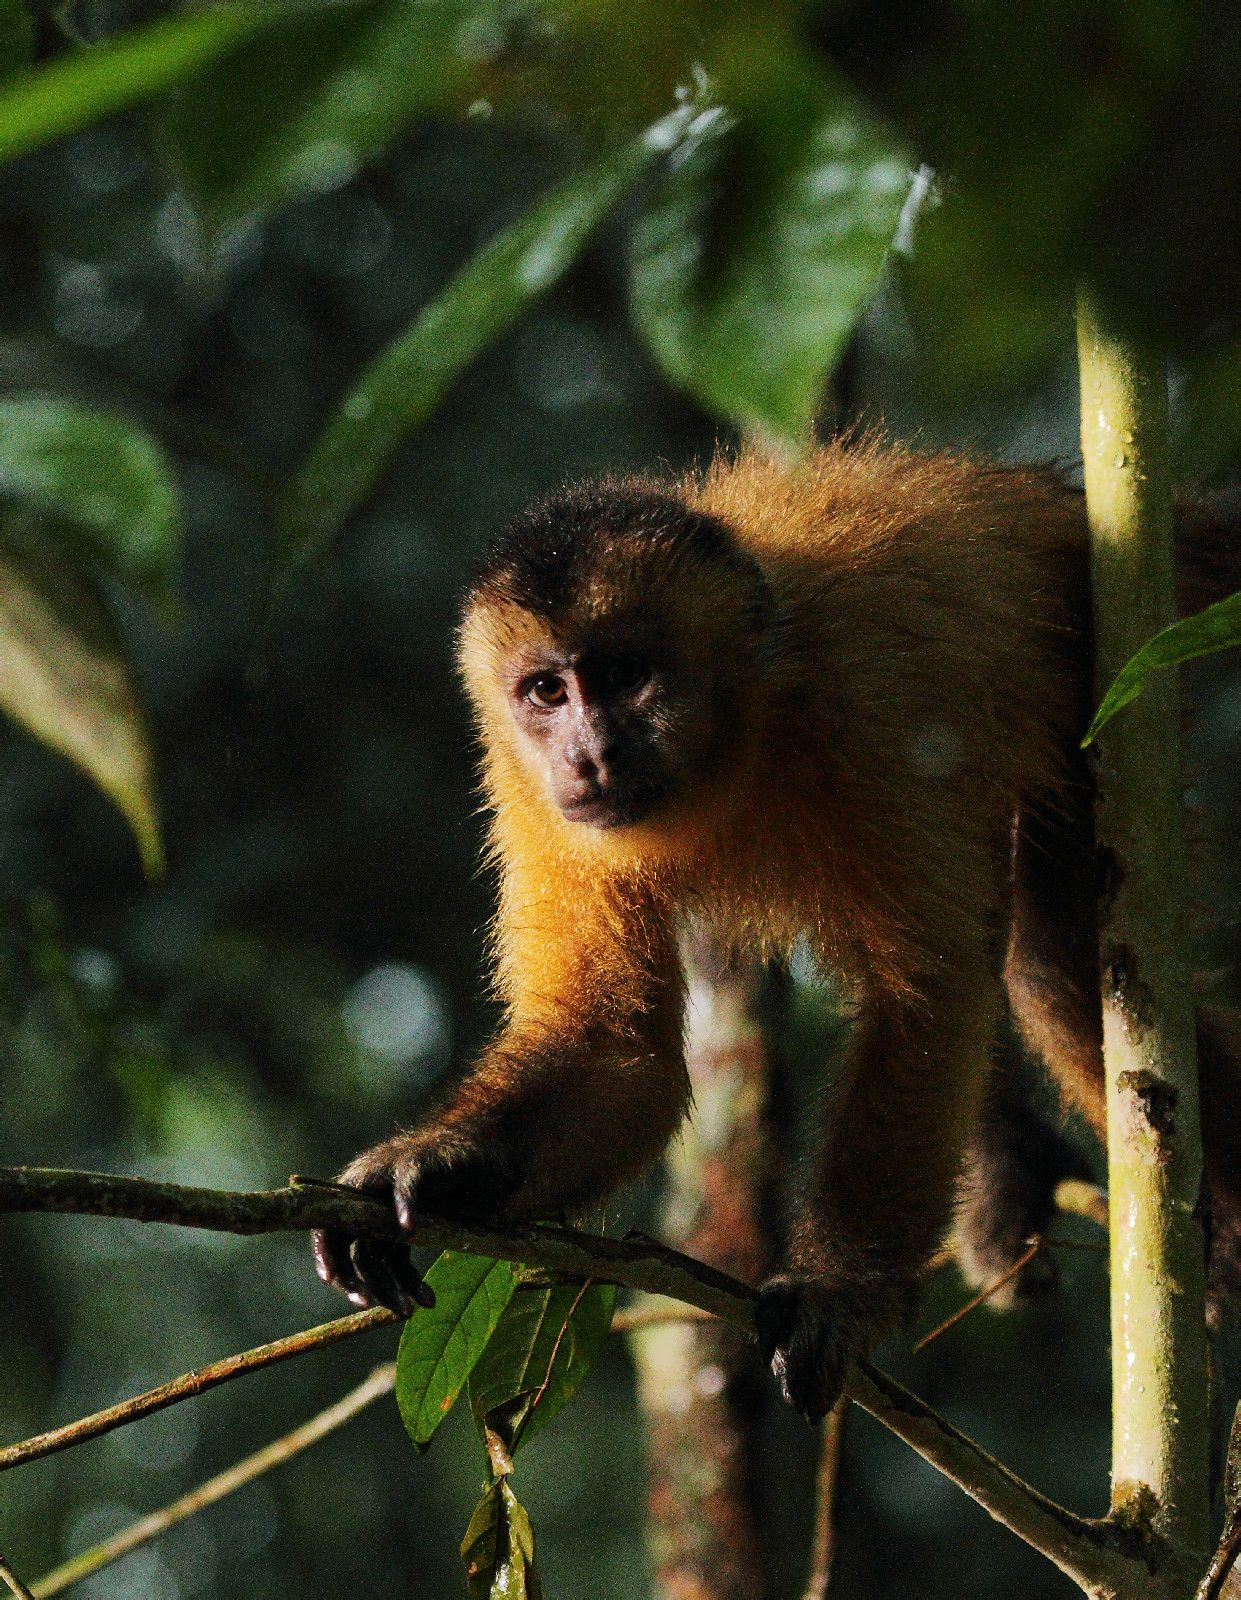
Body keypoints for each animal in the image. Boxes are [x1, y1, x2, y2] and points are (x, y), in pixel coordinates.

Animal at [310, 435, 1241, 1414]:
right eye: (544, 691)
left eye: (625, 677)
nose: (588, 754)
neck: (739, 732)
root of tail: (1054, 503)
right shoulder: (528, 789)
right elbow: (616, 1053)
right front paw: (439, 1166)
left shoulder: (862, 709)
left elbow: (929, 989)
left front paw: (838, 1287)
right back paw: (1006, 1174)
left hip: (1097, 676)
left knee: (1057, 971)